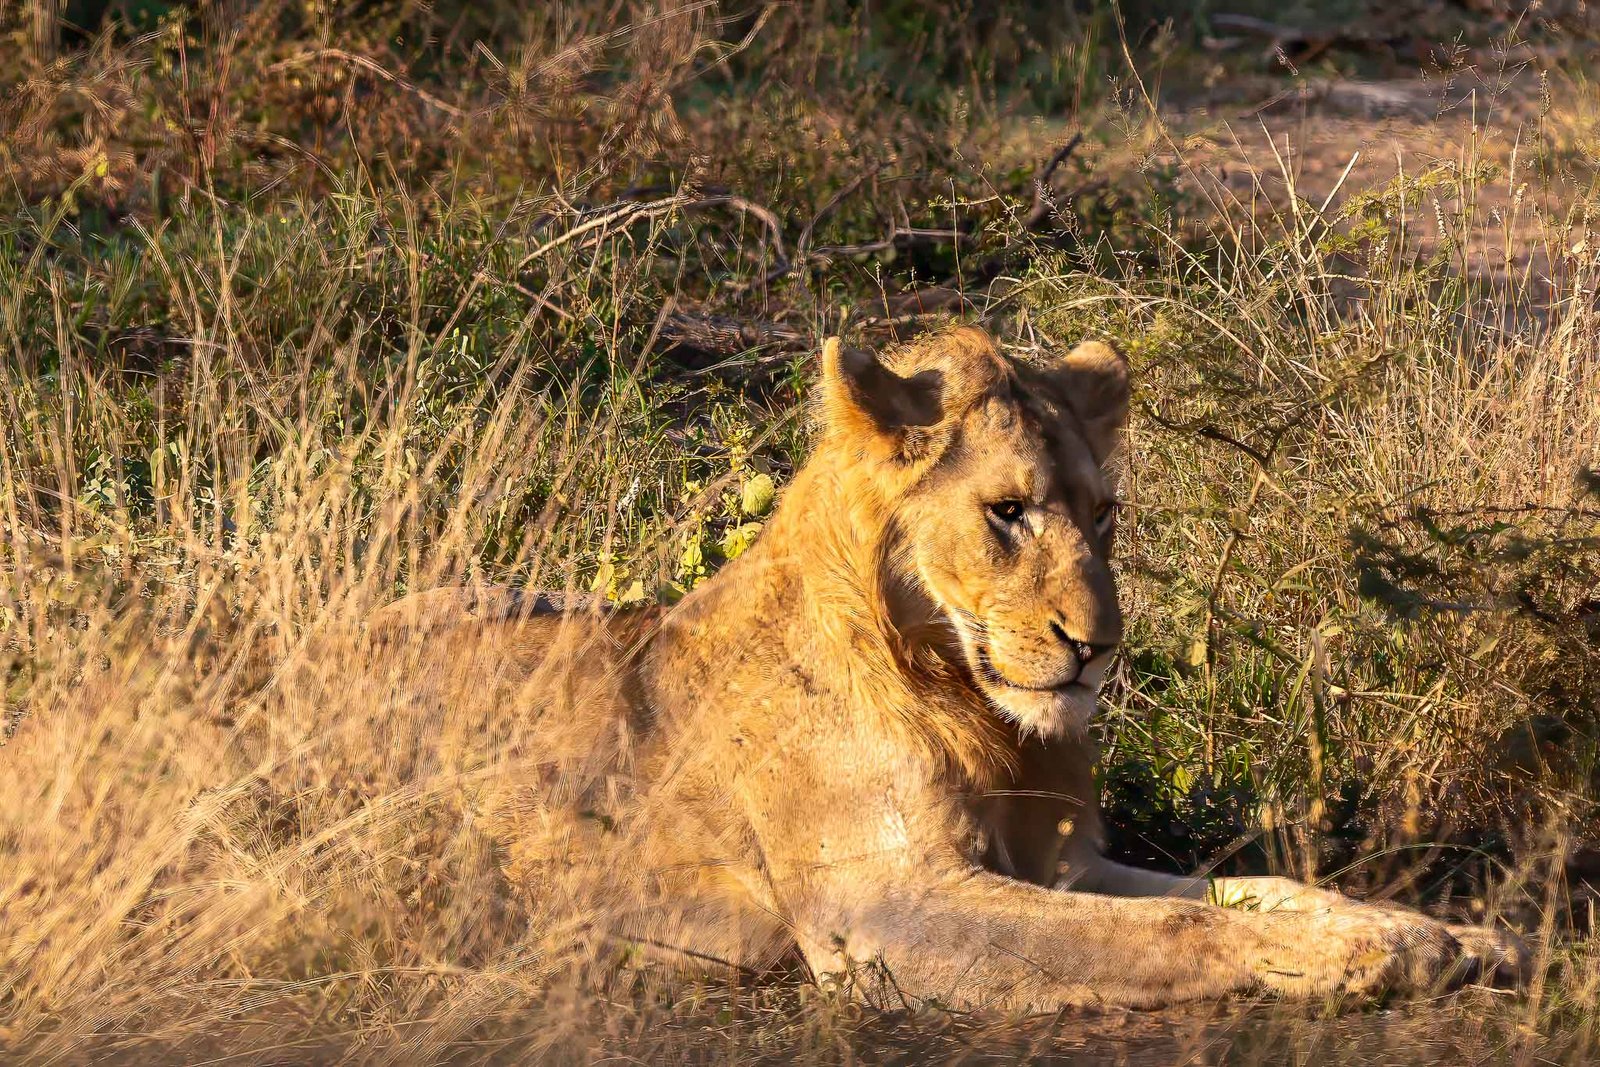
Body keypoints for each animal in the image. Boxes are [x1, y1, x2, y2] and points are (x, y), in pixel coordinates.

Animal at [368, 325, 1524, 1010]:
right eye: (1006, 511)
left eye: (1104, 514)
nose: (1097, 647)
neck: (969, 703)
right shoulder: (882, 912)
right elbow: (1176, 924)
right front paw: (1350, 961)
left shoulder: (1060, 861)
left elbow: (1261, 887)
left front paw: (1442, 933)